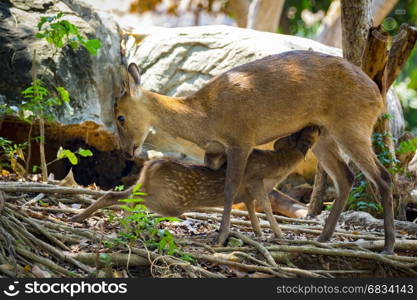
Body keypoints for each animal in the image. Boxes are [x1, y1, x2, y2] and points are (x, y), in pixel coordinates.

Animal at [70, 126, 318, 237]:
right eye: (308, 133)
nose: (316, 125)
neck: (278, 168)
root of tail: (151, 166)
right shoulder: (255, 181)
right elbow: (266, 206)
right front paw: (279, 235)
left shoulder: (246, 196)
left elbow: (253, 213)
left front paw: (260, 234)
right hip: (170, 201)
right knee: (132, 201)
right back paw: (123, 226)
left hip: (146, 187)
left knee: (114, 194)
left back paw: (78, 217)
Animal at [113, 51, 394, 253]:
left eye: (120, 117)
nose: (126, 151)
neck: (206, 118)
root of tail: (379, 96)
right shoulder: (216, 151)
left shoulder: (242, 139)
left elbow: (230, 187)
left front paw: (221, 237)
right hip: (323, 134)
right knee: (346, 176)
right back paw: (324, 238)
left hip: (353, 125)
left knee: (383, 176)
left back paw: (388, 246)